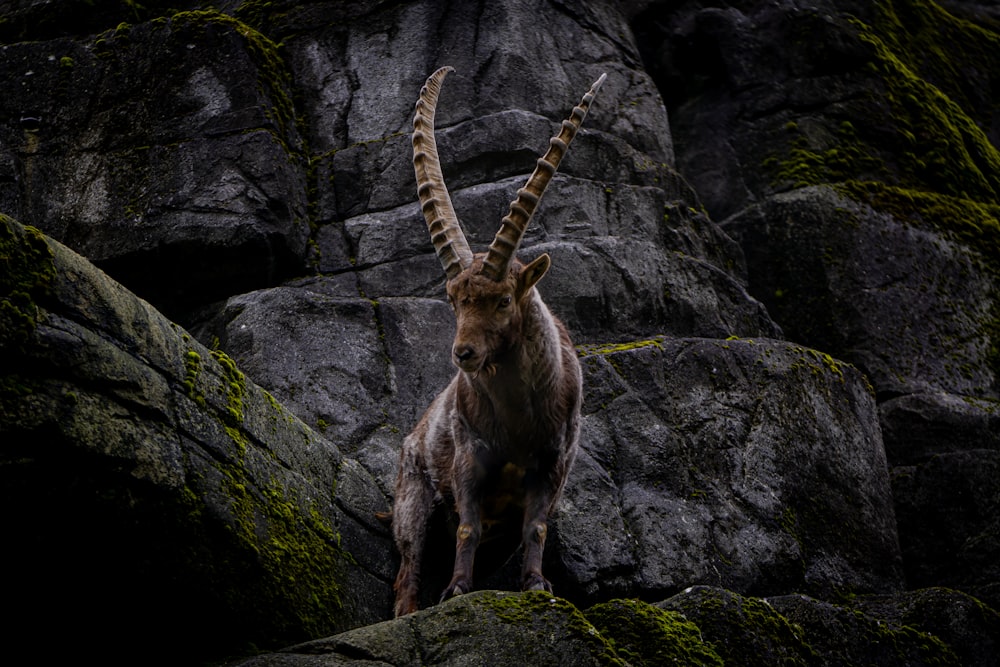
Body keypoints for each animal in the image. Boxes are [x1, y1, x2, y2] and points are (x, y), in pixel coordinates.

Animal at [388, 66, 600, 616]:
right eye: (453, 299)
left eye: (503, 300)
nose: (463, 354)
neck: (518, 417)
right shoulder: (470, 457)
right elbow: (468, 525)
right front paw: (458, 590)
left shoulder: (553, 464)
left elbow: (536, 528)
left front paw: (536, 585)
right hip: (412, 499)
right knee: (407, 571)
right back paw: (414, 607)